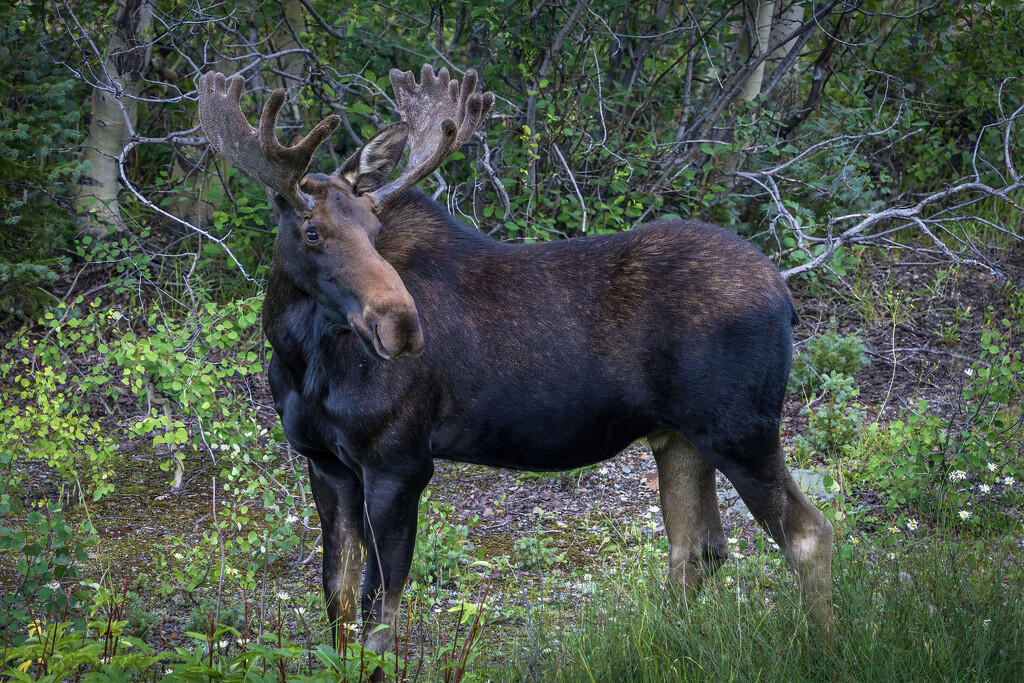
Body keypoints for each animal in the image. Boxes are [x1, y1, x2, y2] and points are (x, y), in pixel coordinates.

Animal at [197, 65, 831, 655]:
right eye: (311, 232)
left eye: (376, 229)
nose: (401, 327)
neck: (301, 360)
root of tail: (787, 298)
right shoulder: (325, 464)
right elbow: (338, 602)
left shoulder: (399, 464)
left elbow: (380, 613)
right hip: (679, 435)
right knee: (697, 548)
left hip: (740, 428)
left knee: (807, 534)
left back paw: (820, 641)